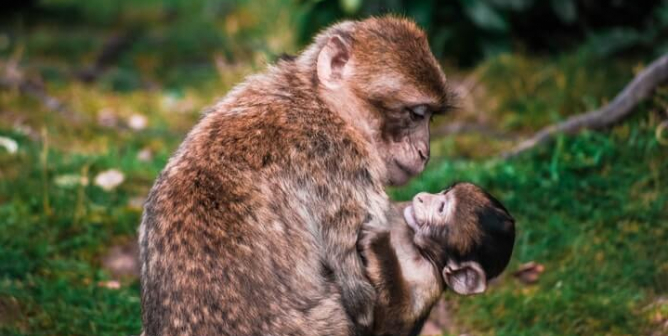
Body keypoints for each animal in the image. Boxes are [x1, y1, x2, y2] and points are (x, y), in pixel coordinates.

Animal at [139, 16, 452, 336]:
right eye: (416, 114)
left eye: (430, 117)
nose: (425, 152)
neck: (322, 105)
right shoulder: (340, 171)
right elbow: (365, 306)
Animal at [360, 182, 516, 336]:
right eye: (444, 192)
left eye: (441, 208)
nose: (422, 197)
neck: (417, 248)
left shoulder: (430, 278)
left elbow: (391, 328)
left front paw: (378, 243)